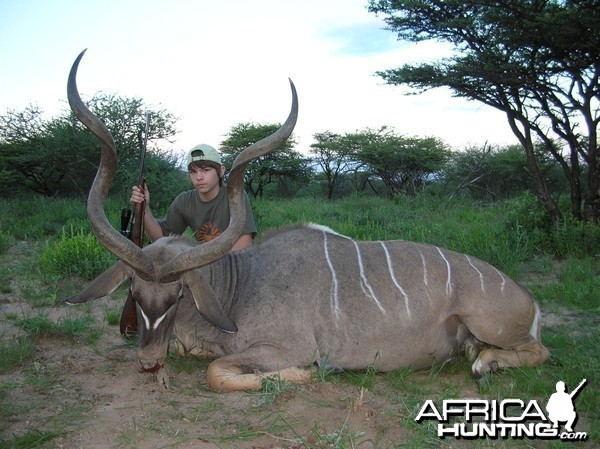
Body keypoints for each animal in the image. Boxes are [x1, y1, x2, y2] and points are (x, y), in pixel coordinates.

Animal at [64, 50, 548, 390]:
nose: (148, 363)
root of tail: (529, 300)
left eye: (179, 294)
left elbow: (218, 372)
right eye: (133, 290)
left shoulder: (284, 348)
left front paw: (315, 373)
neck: (239, 286)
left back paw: (484, 364)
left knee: (538, 352)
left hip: (493, 325)